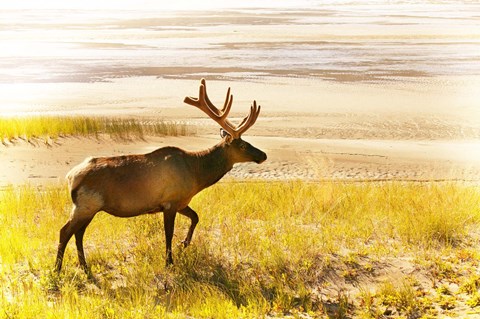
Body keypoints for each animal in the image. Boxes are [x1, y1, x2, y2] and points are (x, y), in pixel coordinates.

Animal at [55, 79, 270, 274]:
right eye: (242, 145)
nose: (263, 155)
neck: (196, 174)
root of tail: (70, 177)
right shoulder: (170, 202)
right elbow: (169, 233)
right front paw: (169, 262)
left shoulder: (181, 201)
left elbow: (196, 217)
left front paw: (185, 243)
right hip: (86, 205)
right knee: (65, 231)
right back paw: (57, 269)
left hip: (88, 207)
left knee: (78, 233)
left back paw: (84, 266)